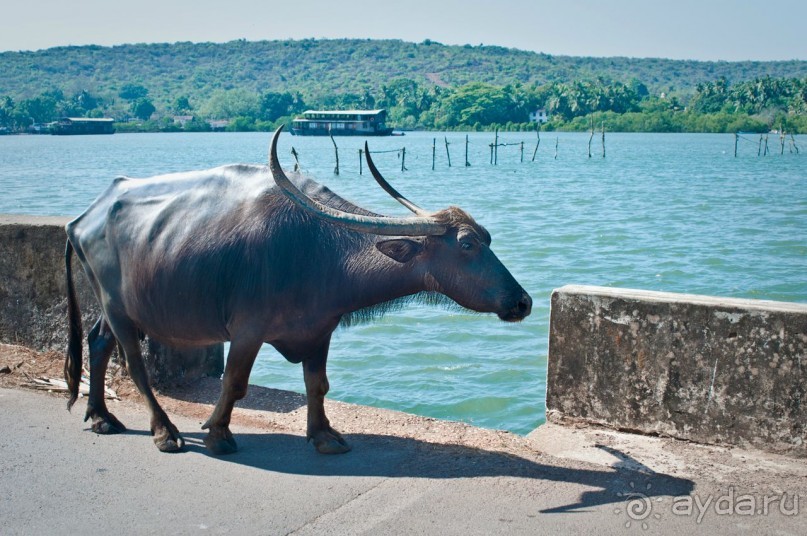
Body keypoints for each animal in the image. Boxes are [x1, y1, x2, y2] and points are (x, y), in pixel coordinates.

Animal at [66, 126, 532, 456]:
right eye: (467, 244)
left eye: (488, 237)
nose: (522, 301)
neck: (318, 250)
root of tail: (83, 218)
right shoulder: (248, 330)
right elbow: (234, 383)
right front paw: (217, 433)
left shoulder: (319, 331)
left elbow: (318, 385)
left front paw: (323, 435)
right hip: (119, 309)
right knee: (134, 365)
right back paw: (164, 432)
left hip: (113, 307)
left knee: (98, 341)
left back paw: (100, 416)